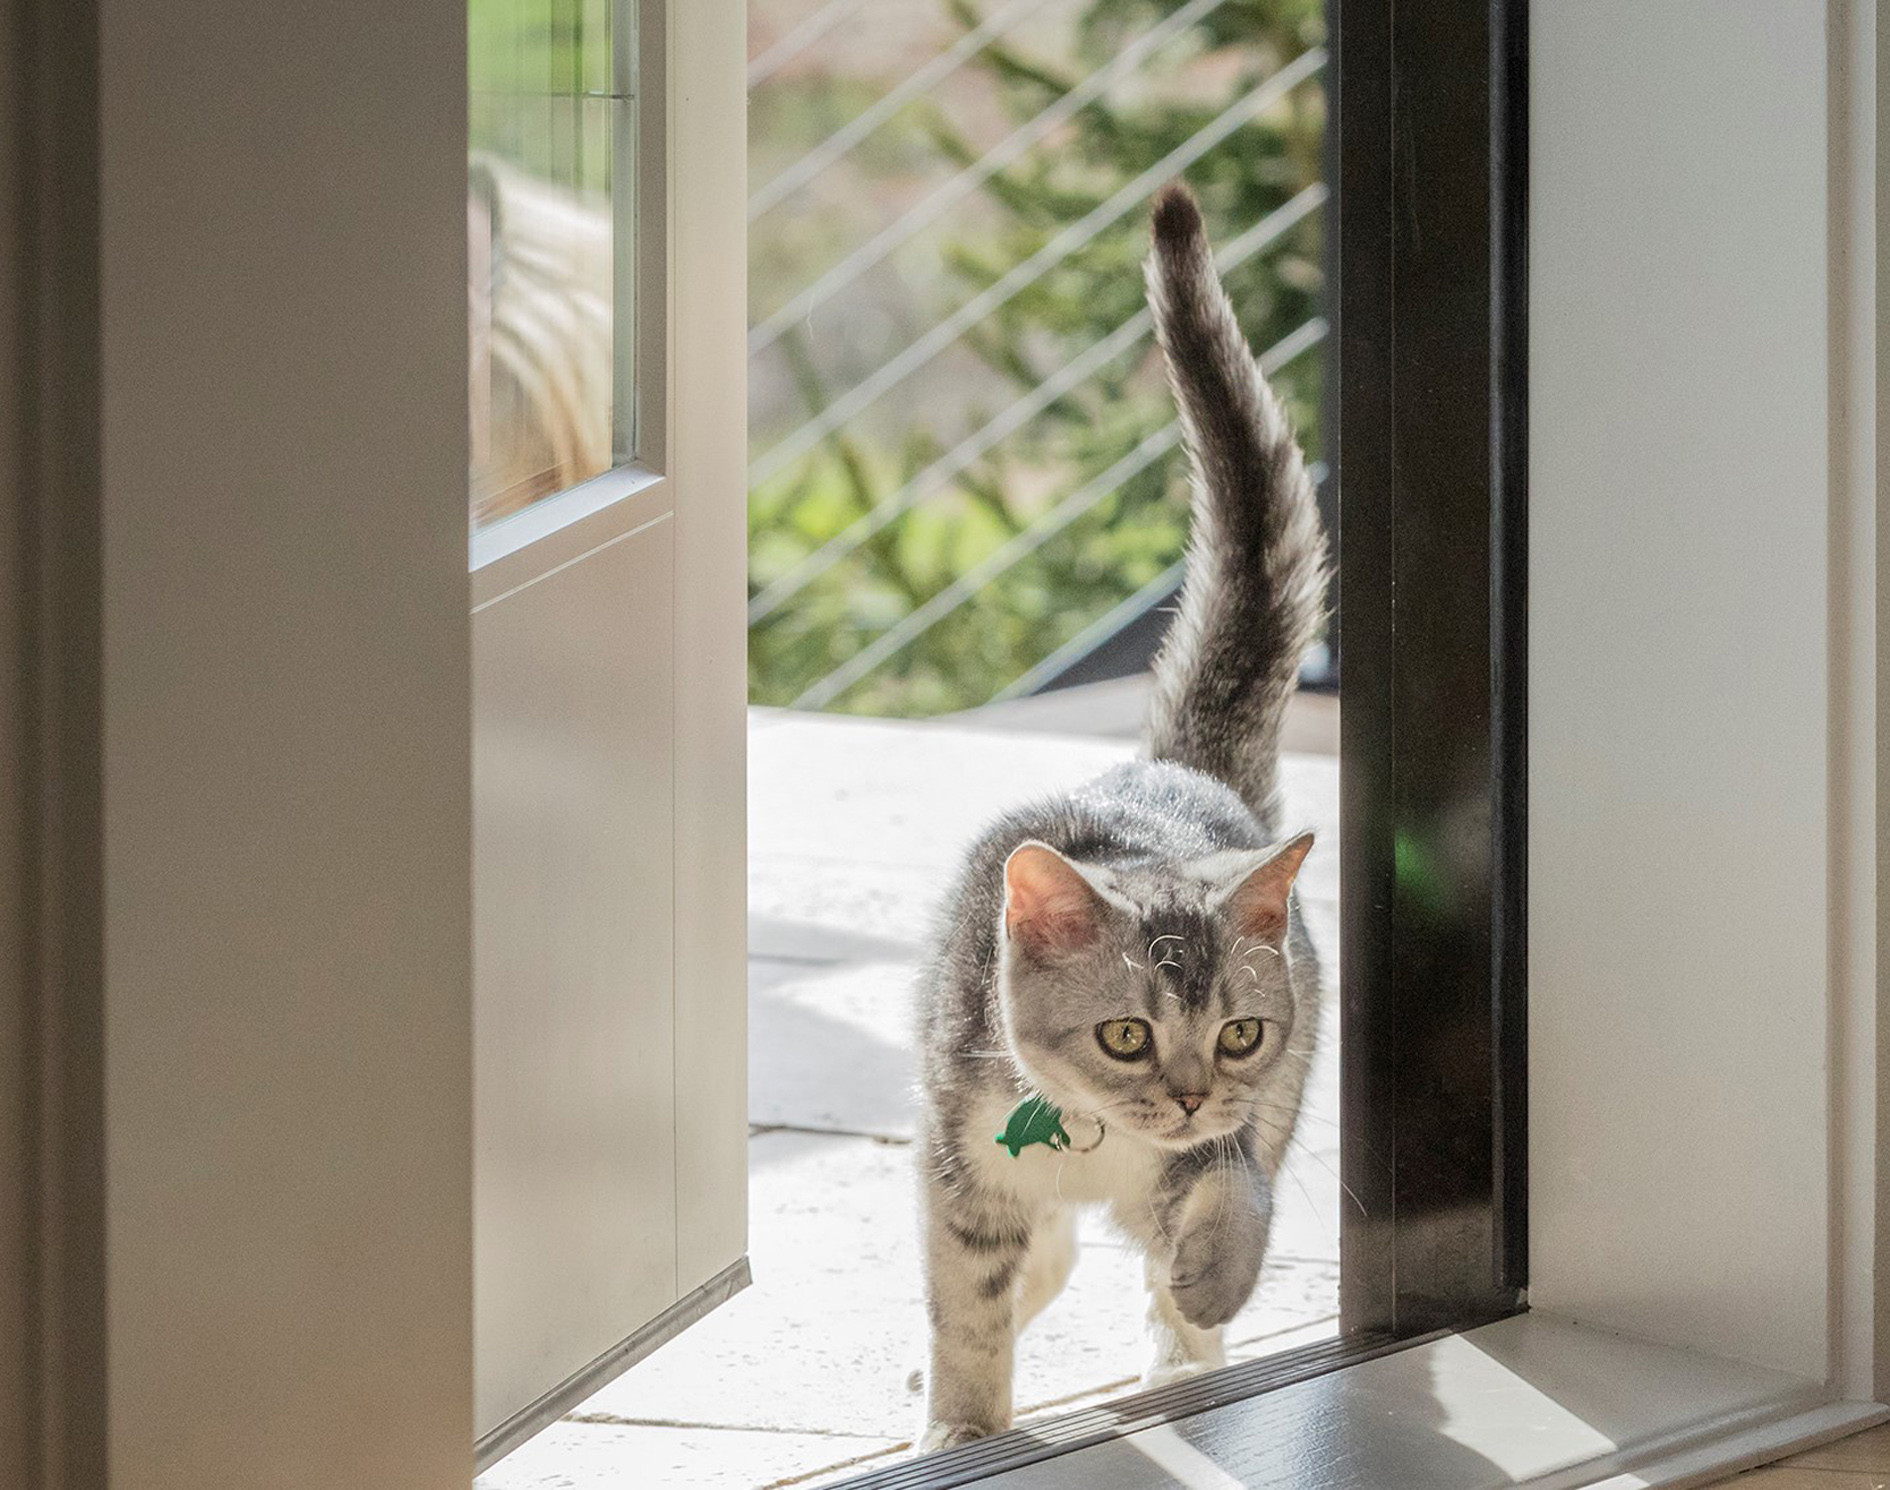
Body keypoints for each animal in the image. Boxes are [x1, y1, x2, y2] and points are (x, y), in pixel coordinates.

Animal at [914, 180, 1330, 1452]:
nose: (1188, 1090)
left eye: (1238, 1032)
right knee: (1034, 1273)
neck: (1098, 1146)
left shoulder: (1236, 1127)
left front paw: (1210, 1288)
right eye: (1126, 1034)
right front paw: (963, 1431)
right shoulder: (959, 1173)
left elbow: (1235, 1191)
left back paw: (1181, 1358)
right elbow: (968, 1307)